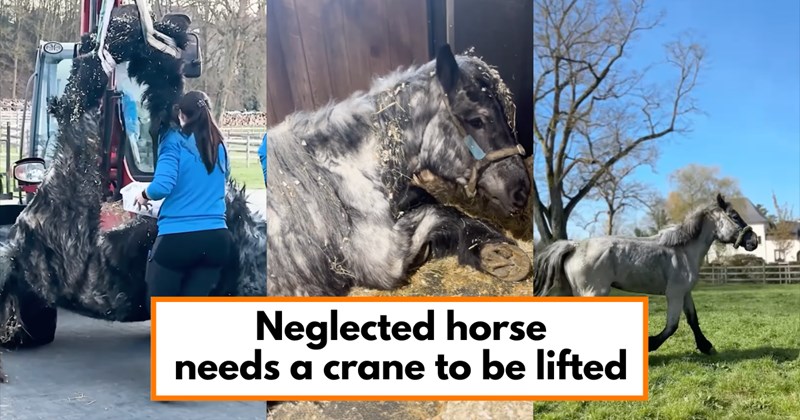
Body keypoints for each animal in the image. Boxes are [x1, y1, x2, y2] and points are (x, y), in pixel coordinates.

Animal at [266, 44, 532, 296]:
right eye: (476, 120)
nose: (521, 189)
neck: (343, 170)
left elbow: (427, 199)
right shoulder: (383, 261)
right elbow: (441, 211)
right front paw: (491, 249)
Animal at [533, 194, 759, 354]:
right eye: (735, 216)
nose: (754, 241)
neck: (684, 251)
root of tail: (574, 246)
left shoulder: (685, 293)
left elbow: (693, 320)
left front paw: (706, 346)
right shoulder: (674, 294)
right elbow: (672, 325)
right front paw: (650, 344)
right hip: (593, 293)